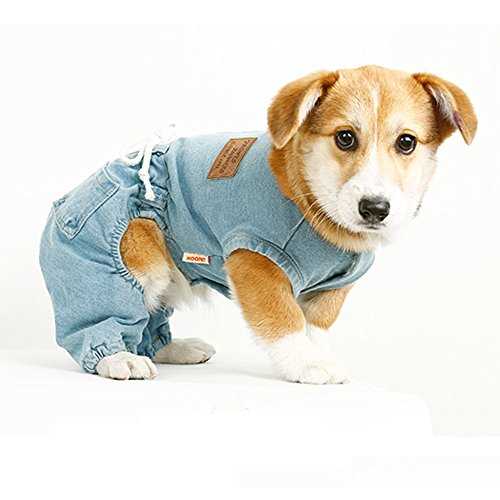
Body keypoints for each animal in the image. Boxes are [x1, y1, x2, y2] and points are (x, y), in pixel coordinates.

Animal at [40, 65, 477, 383]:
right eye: (345, 138)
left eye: (406, 142)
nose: (374, 209)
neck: (311, 202)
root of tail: (58, 209)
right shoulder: (255, 261)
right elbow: (284, 320)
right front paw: (306, 364)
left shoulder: (332, 289)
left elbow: (315, 326)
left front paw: (316, 353)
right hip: (129, 258)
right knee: (104, 319)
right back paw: (119, 358)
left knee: (149, 324)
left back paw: (172, 349)